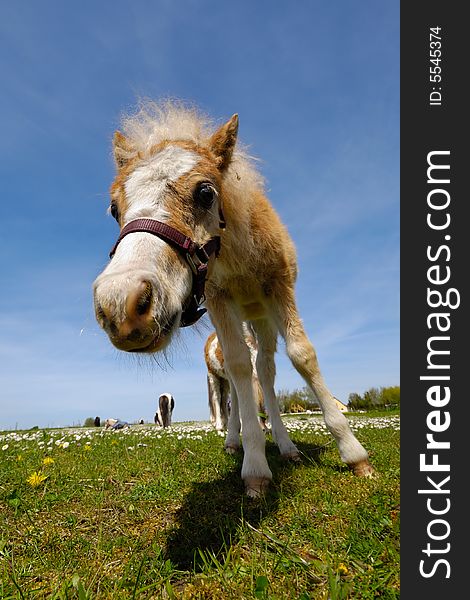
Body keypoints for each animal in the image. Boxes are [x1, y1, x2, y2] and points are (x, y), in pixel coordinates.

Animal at [94, 99, 374, 496]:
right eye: (114, 208)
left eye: (205, 193)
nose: (121, 304)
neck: (237, 255)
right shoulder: (218, 299)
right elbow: (239, 367)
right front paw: (254, 468)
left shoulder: (279, 287)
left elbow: (302, 355)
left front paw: (353, 454)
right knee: (240, 377)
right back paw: (234, 440)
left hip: (261, 318)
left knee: (267, 373)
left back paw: (286, 446)